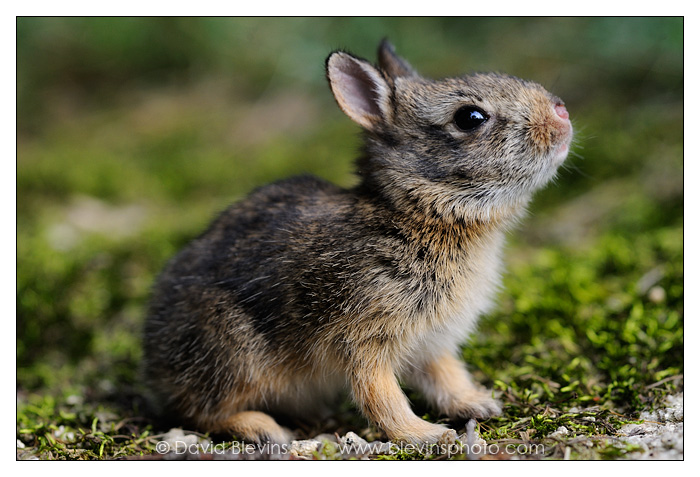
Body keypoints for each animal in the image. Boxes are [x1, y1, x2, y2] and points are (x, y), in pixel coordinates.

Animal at [141, 39, 568, 444]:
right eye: (470, 117)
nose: (561, 113)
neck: (418, 213)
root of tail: (155, 363)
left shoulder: (431, 341)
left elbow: (445, 376)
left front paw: (477, 403)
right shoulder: (365, 333)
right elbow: (380, 394)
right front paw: (426, 435)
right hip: (234, 352)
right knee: (200, 412)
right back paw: (262, 428)